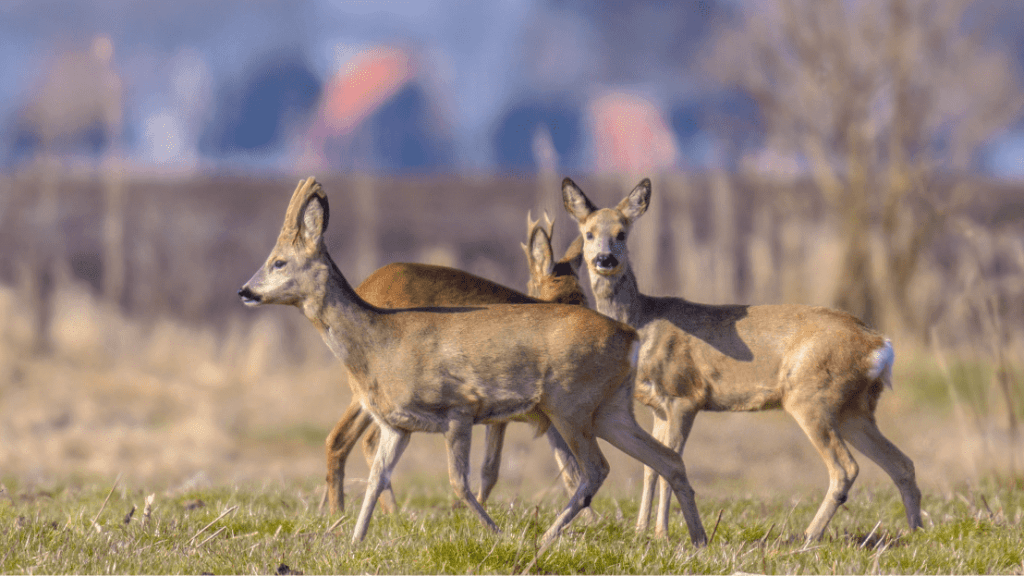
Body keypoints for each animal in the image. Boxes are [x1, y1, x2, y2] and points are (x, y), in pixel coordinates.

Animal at [323, 211, 589, 510]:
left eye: (583, 295)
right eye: (558, 296)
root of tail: (364, 288)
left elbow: (567, 467)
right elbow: (494, 469)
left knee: (342, 440)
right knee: (362, 440)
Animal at [565, 177, 925, 541]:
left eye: (622, 233)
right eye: (588, 233)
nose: (605, 259)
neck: (644, 320)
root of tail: (880, 344)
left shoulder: (685, 395)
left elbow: (670, 462)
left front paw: (662, 534)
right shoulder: (658, 407)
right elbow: (650, 467)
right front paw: (643, 531)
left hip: (811, 396)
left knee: (845, 468)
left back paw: (809, 536)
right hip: (854, 408)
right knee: (902, 463)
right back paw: (915, 533)